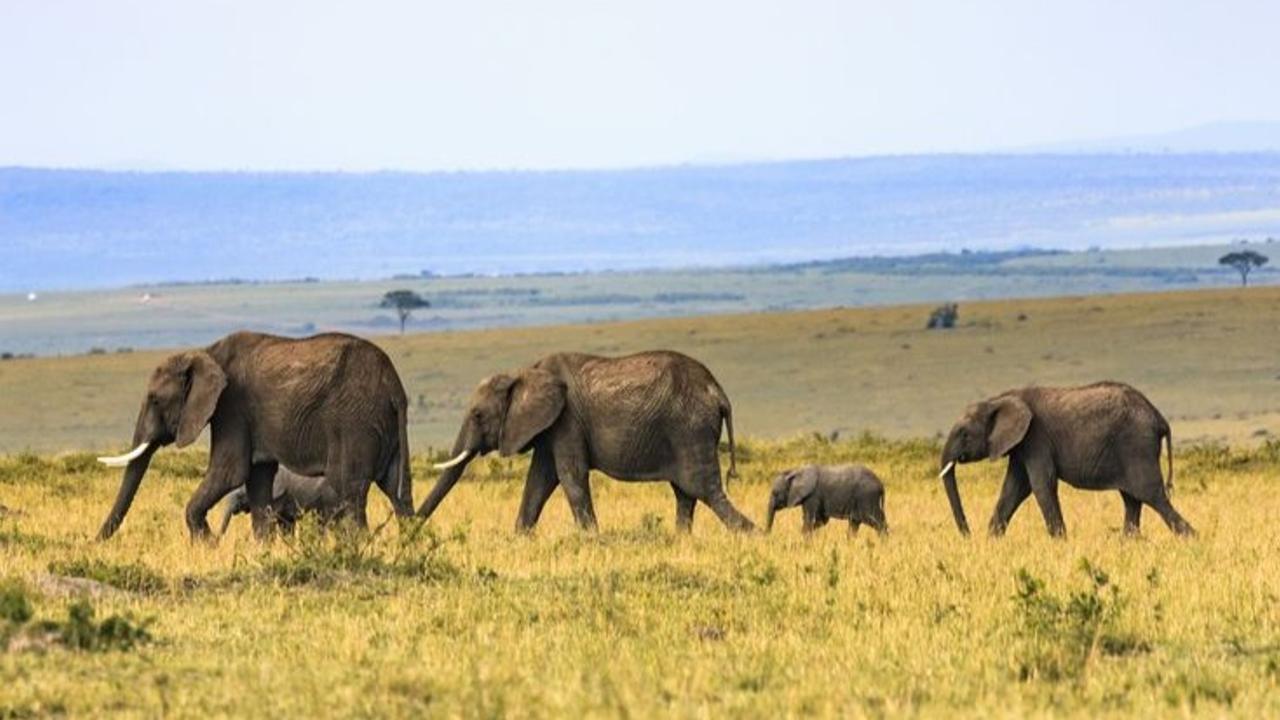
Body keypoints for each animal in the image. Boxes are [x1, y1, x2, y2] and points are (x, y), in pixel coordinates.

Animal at [96, 330, 414, 538]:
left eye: (155, 400)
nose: (95, 541)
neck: (206, 353)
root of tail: (394, 386)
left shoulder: (231, 407)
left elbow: (229, 472)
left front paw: (208, 546)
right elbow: (258, 480)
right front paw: (264, 550)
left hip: (354, 422)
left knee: (349, 490)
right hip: (383, 425)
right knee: (397, 490)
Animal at [414, 351, 752, 530]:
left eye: (477, 415)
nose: (410, 530)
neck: (524, 372)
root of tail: (719, 393)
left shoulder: (567, 422)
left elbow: (570, 477)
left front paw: (592, 539)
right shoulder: (550, 428)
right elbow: (539, 481)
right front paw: (519, 537)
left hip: (689, 430)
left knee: (703, 489)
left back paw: (752, 535)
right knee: (686, 494)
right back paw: (681, 539)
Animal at [936, 379, 1192, 535]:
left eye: (964, 434)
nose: (968, 535)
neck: (999, 399)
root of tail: (1159, 417)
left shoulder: (1036, 437)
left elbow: (1041, 485)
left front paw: (1060, 541)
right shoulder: (1021, 445)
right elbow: (1013, 489)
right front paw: (991, 542)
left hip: (1137, 447)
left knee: (1152, 496)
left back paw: (1191, 539)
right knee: (1132, 500)